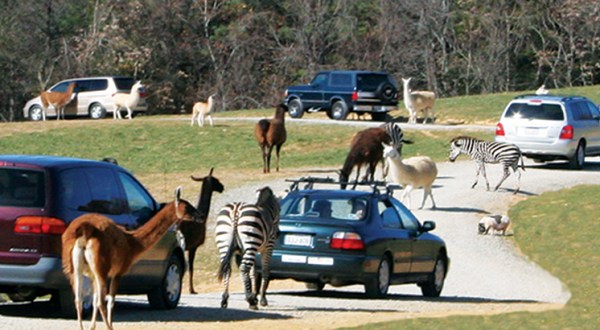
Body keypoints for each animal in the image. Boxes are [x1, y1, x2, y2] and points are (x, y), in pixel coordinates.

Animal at [62, 187, 200, 328]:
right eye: (187, 207)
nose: (200, 216)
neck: (132, 242)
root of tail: (85, 231)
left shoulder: (92, 274)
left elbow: (94, 301)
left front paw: (92, 327)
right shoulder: (118, 272)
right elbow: (110, 301)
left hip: (74, 268)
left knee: (78, 300)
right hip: (101, 269)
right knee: (100, 301)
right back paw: (109, 327)